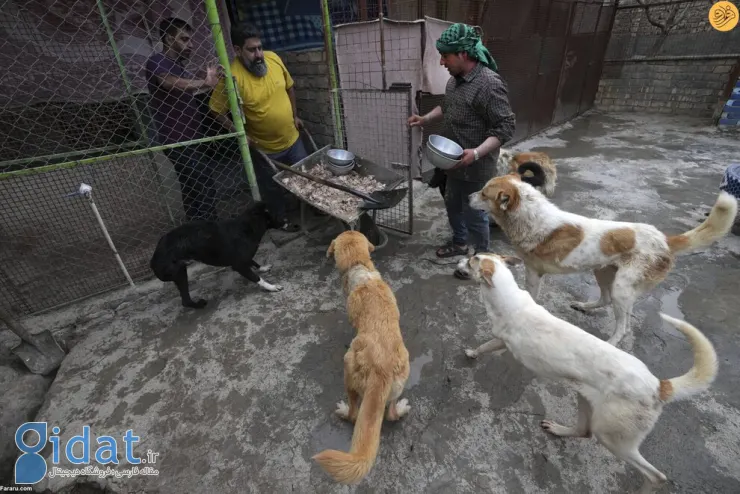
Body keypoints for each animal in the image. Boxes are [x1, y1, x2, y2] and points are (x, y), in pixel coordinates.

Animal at [150, 202, 284, 308]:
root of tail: (153, 260)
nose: (287, 221)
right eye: (276, 214)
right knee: (185, 301)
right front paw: (272, 287)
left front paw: (263, 268)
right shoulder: (239, 265)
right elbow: (257, 278)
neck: (246, 227)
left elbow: (253, 261)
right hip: (179, 272)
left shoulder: (243, 258)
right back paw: (200, 304)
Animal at [312, 232, 414, 482]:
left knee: (353, 413)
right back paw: (402, 409)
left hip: (348, 369)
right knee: (391, 414)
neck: (360, 269)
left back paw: (343, 411)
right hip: (399, 381)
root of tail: (380, 371)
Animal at [466, 174, 736, 348]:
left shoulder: (533, 273)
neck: (529, 217)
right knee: (606, 300)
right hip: (604, 272)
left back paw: (612, 341)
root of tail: (665, 239)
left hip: (622, 288)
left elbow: (529, 296)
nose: (467, 197)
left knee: (624, 325)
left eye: (483, 193)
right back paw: (585, 306)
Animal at [468, 253, 716, 492]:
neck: (507, 296)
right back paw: (559, 430)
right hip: (586, 401)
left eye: (473, 260)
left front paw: (471, 353)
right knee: (584, 431)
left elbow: (484, 347)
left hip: (612, 437)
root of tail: (659, 385)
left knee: (656, 477)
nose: (463, 258)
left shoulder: (500, 340)